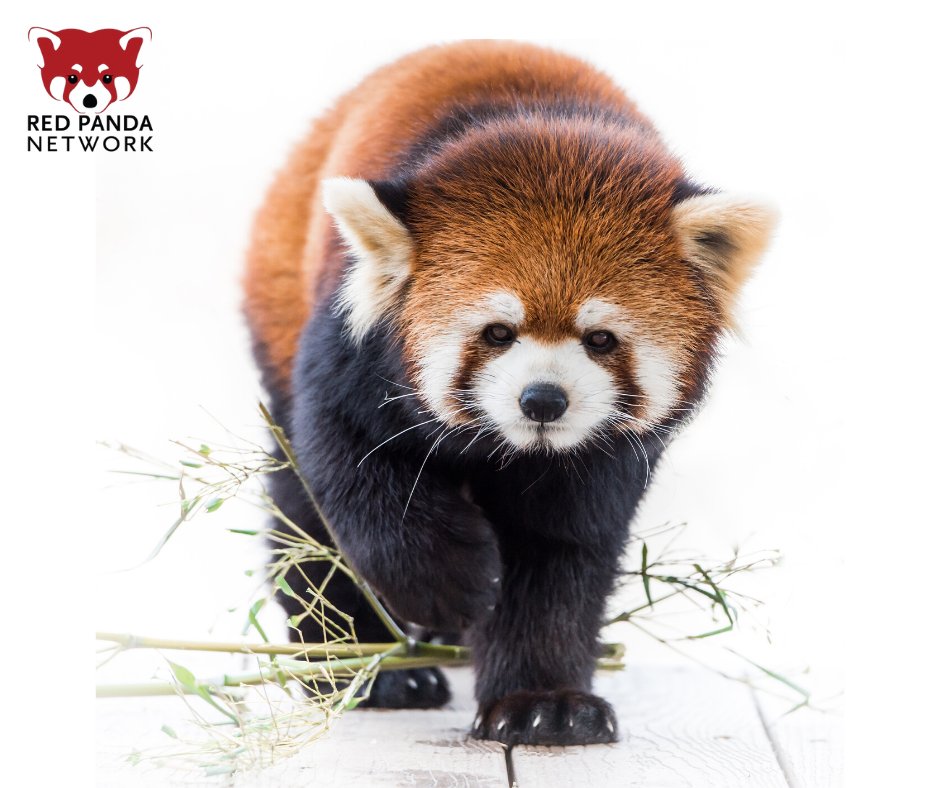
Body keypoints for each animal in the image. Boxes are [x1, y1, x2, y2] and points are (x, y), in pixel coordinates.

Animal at [243, 40, 775, 746]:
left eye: (600, 339)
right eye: (497, 332)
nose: (542, 400)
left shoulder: (602, 459)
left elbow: (559, 555)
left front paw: (543, 703)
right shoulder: (350, 352)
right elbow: (351, 470)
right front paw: (449, 585)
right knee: (302, 513)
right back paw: (361, 668)